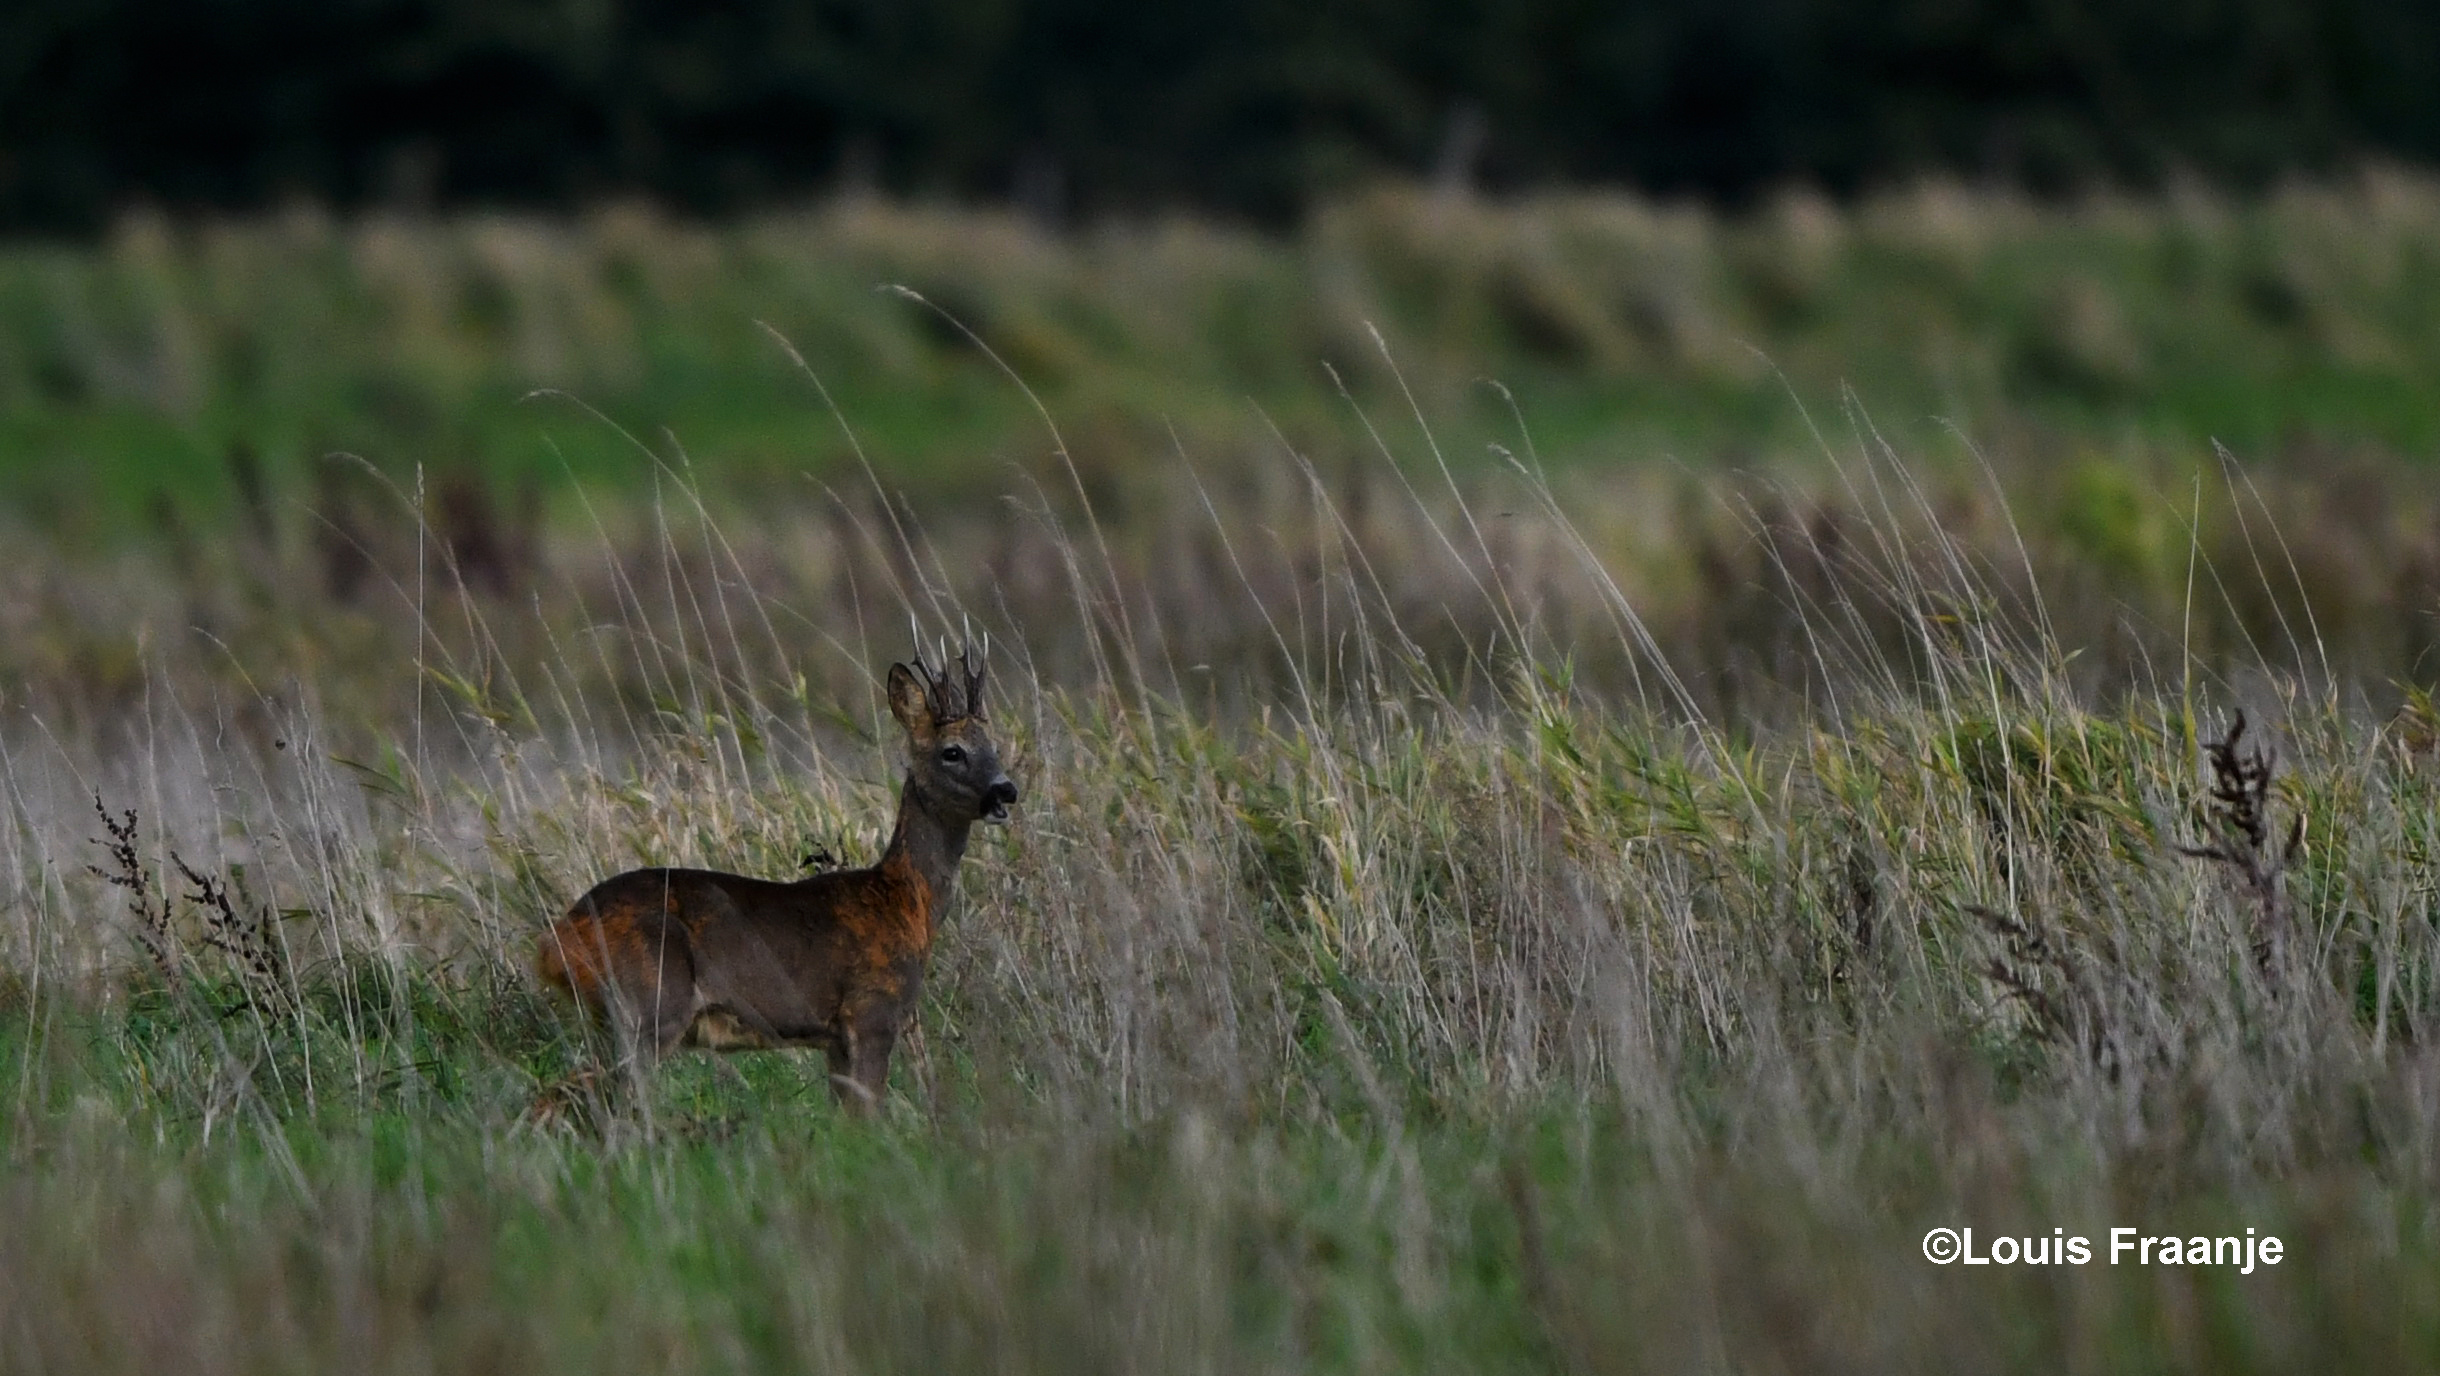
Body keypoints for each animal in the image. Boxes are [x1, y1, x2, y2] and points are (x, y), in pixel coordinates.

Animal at [539, 648, 1015, 1112]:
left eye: (994, 746)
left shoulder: (835, 1039)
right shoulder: (872, 1012)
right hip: (649, 1004)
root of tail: (556, 941)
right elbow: (871, 1116)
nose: (1006, 789)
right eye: (952, 751)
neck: (905, 898)